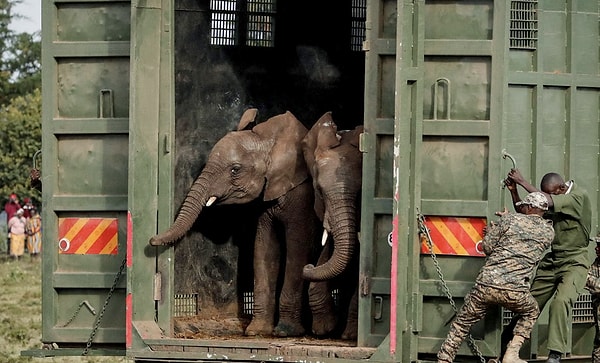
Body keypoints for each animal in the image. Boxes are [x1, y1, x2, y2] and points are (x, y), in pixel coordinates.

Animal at [149, 108, 318, 338]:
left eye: (235, 169)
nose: (151, 240)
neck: (270, 142)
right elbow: (264, 251)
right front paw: (256, 332)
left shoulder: (303, 197)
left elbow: (297, 250)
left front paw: (285, 331)